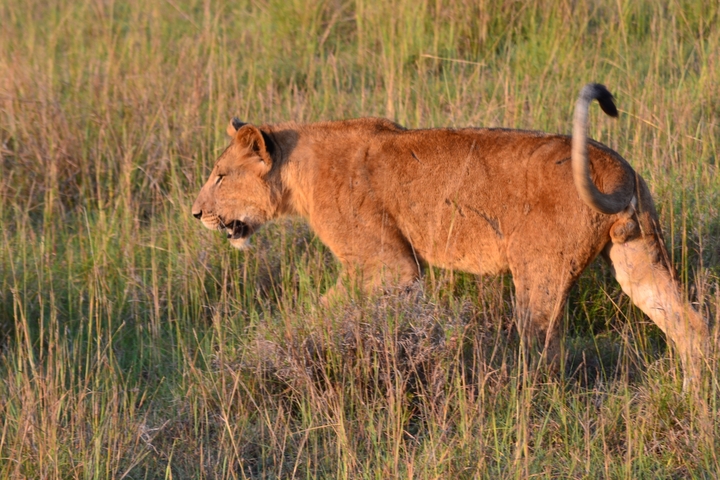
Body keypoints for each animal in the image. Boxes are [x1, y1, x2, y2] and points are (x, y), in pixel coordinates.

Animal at [192, 84, 709, 388]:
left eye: (220, 176)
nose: (196, 213)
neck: (296, 169)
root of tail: (613, 163)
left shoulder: (389, 266)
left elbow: (322, 312)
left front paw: (283, 344)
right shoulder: (397, 274)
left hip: (539, 268)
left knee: (542, 350)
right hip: (638, 256)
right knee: (691, 323)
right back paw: (695, 393)